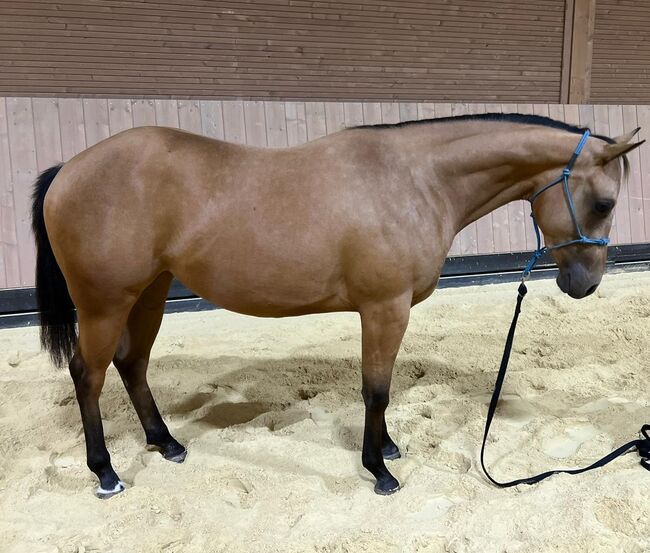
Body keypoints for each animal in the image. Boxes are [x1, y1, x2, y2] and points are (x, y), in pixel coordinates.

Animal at [29, 112, 636, 496]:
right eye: (605, 203)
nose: (585, 284)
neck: (414, 181)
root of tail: (68, 170)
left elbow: (381, 389)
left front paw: (387, 448)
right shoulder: (385, 308)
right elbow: (376, 390)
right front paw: (379, 470)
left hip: (149, 292)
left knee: (132, 365)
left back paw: (166, 443)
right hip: (105, 304)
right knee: (89, 374)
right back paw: (105, 472)